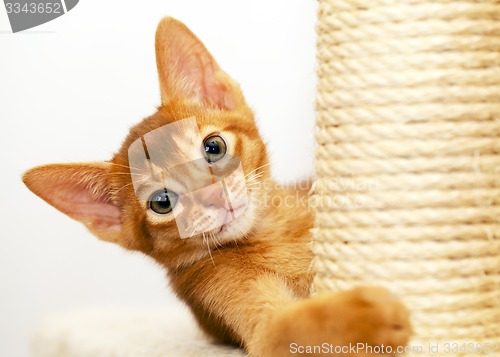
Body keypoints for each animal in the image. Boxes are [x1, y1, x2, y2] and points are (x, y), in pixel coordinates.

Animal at [22, 17, 410, 356]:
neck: (276, 233)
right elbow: (291, 328)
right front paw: (368, 314)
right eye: (162, 202)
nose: (212, 197)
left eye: (213, 147)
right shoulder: (236, 309)